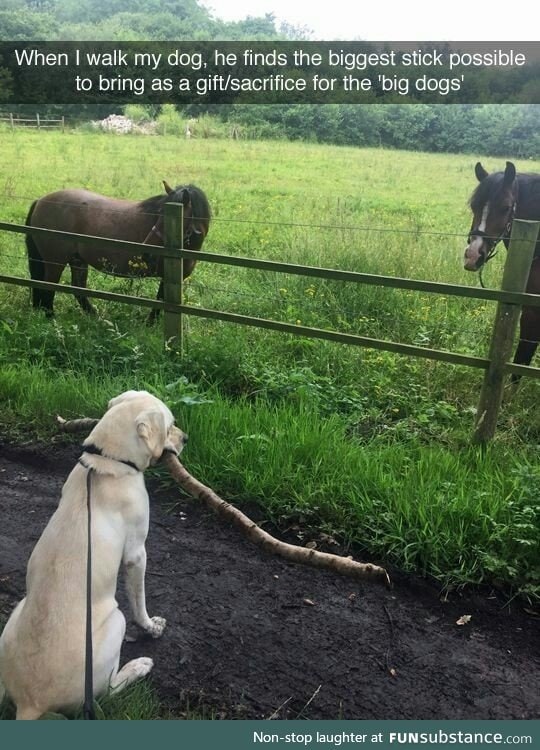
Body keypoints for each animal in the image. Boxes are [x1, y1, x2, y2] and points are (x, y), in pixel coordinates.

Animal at [0, 390, 186, 720]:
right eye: (170, 425)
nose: (186, 438)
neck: (106, 463)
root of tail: (30, 703)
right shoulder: (137, 554)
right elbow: (140, 602)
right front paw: (151, 627)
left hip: (15, 616)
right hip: (116, 621)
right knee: (109, 690)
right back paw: (138, 666)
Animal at [25, 185, 211, 320]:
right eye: (159, 214)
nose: (146, 253)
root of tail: (40, 201)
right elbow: (160, 302)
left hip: (77, 260)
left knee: (78, 290)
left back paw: (95, 316)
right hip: (55, 263)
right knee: (48, 289)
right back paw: (51, 318)